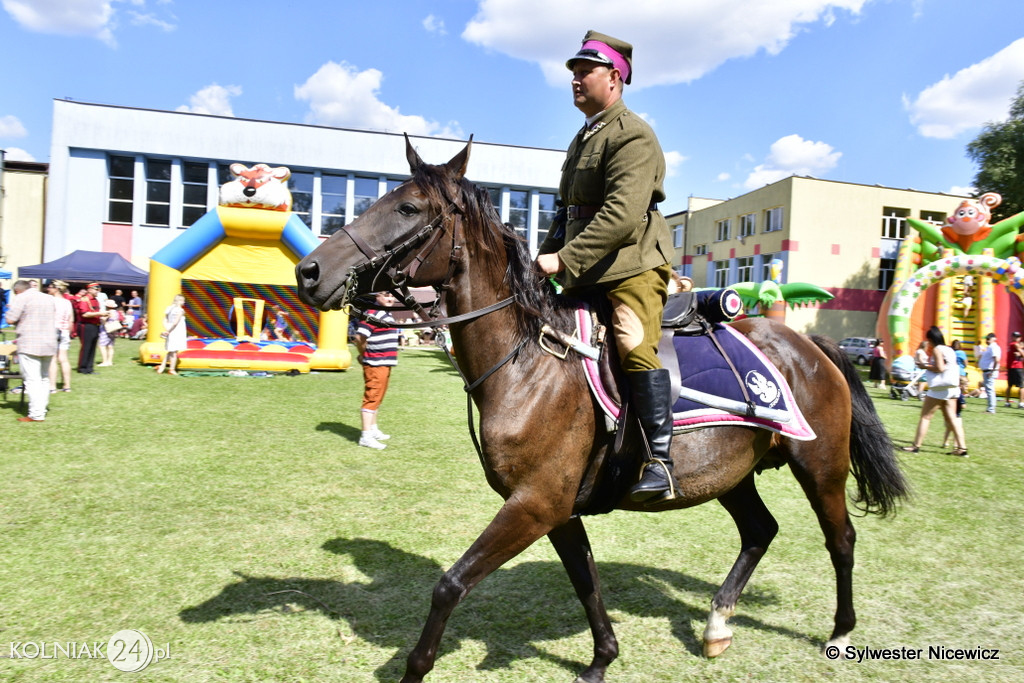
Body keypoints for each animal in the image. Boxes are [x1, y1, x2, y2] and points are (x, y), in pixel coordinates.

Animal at [294, 139, 905, 683]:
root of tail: (809, 344)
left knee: (841, 539)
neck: (529, 365)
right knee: (761, 530)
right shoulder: (558, 510)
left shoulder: (534, 505)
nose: (309, 272)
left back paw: (840, 630)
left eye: (408, 208)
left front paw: (415, 668)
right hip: (732, 475)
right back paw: (716, 625)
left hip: (820, 466)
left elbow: (450, 585)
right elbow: (586, 582)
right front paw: (601, 661)